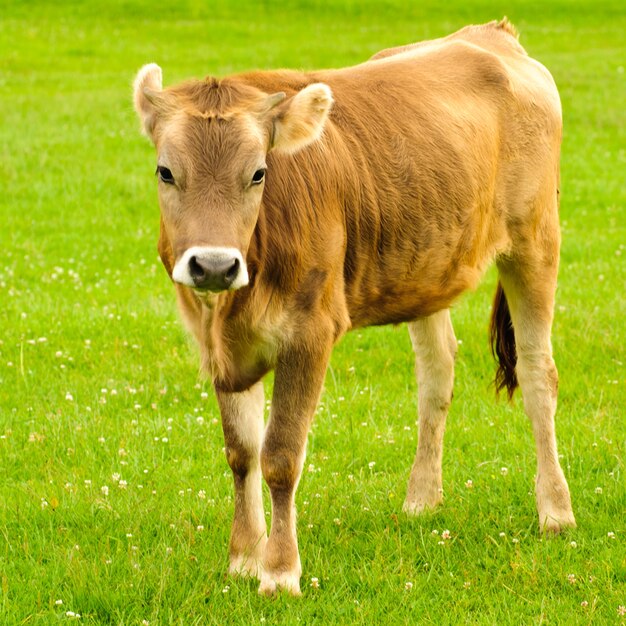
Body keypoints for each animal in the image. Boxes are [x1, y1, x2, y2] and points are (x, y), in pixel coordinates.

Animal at [133, 18, 576, 596]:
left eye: (258, 173)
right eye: (165, 171)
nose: (213, 265)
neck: (230, 307)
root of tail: (490, 32)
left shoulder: (310, 331)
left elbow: (280, 456)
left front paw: (279, 572)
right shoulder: (221, 350)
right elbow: (241, 453)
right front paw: (243, 557)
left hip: (536, 240)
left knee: (538, 373)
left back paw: (556, 511)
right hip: (428, 262)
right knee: (437, 373)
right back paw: (421, 499)